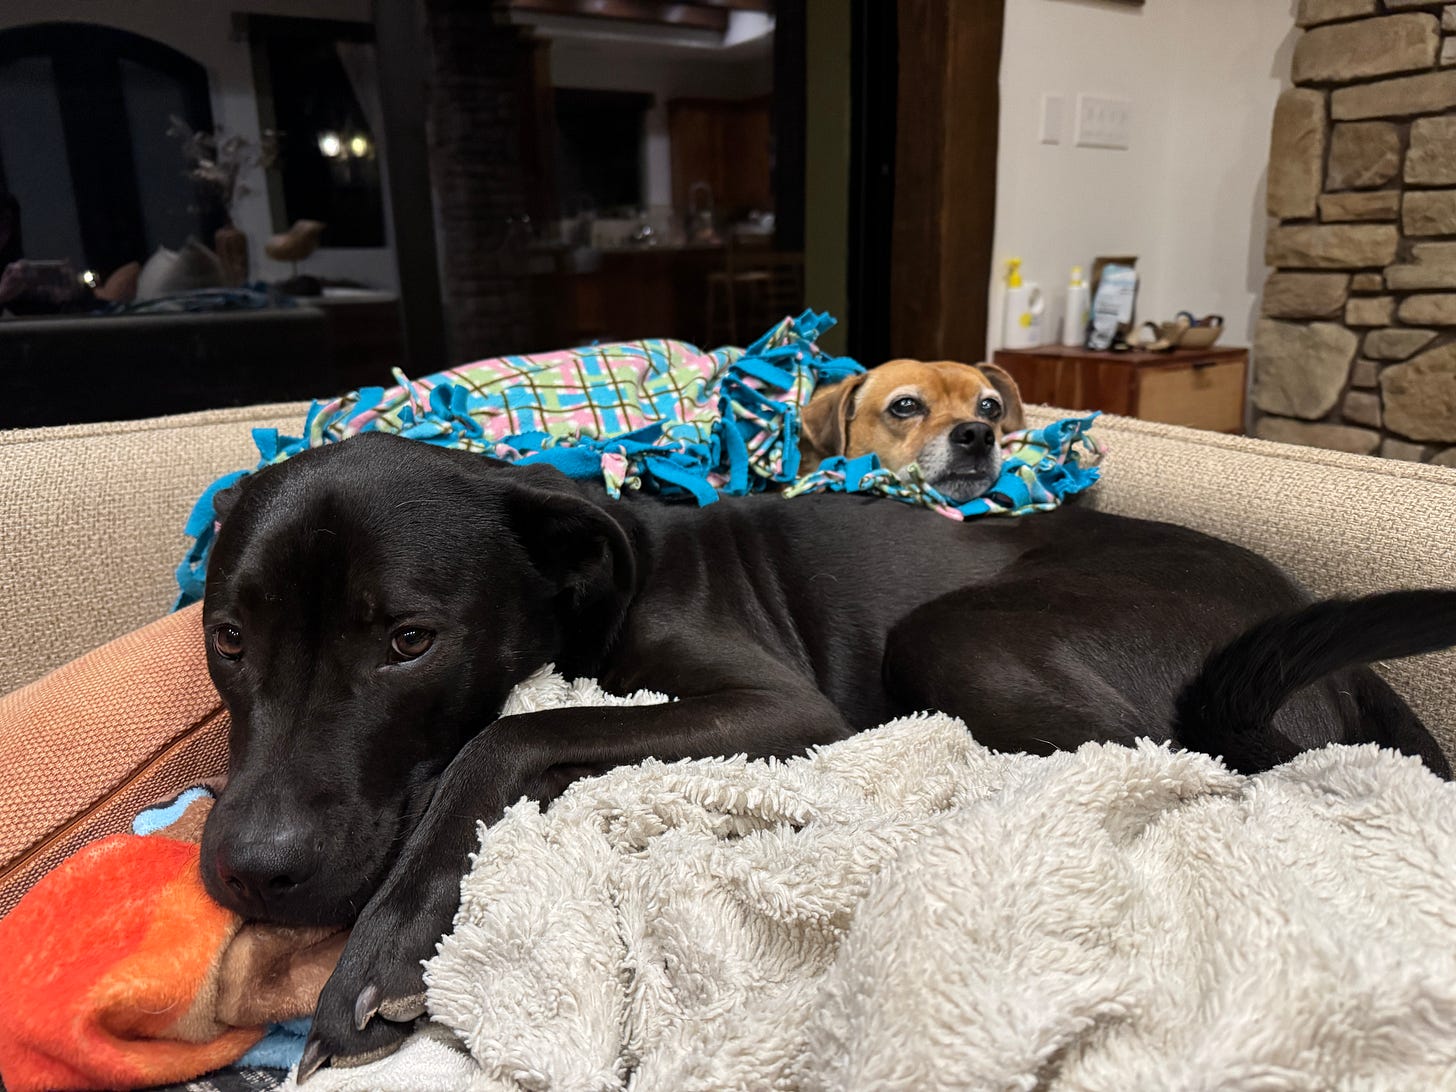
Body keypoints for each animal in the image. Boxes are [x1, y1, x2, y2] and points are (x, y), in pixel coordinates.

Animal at [196, 433, 1456, 1077]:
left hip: (958, 632)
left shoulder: (777, 705)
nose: (253, 870)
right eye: (227, 638)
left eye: (409, 642)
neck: (586, 583)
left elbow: (509, 731)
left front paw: (380, 953)